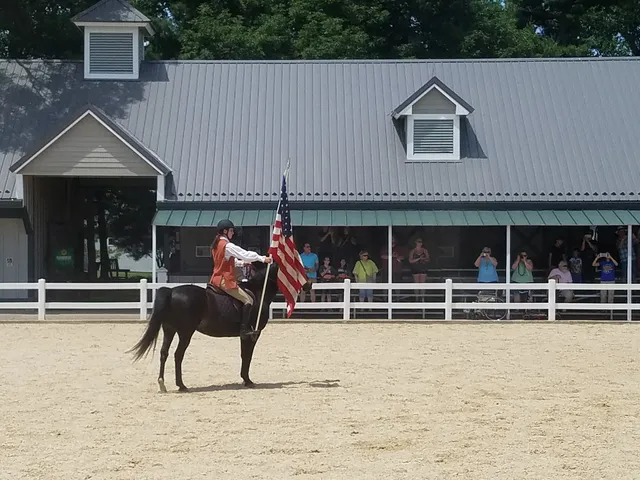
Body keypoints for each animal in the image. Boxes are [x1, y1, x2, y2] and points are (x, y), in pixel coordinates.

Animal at [128, 262, 301, 393]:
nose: (305, 284)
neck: (259, 291)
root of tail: (171, 291)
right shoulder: (253, 334)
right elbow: (247, 356)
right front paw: (247, 380)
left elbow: (244, 355)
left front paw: (245, 379)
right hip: (185, 332)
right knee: (178, 355)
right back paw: (182, 385)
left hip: (169, 330)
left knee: (164, 353)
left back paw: (162, 383)